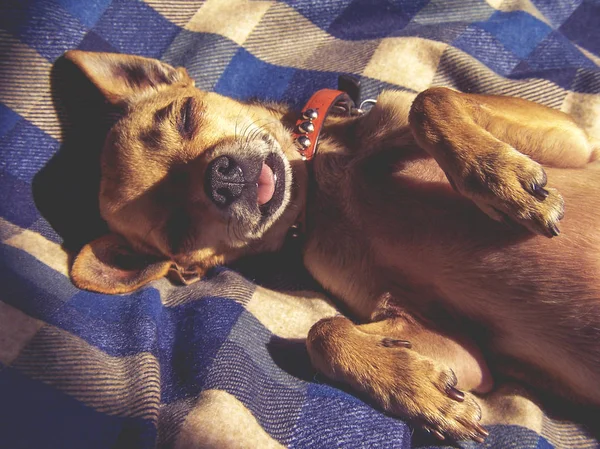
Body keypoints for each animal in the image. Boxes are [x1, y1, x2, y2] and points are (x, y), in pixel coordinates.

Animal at [63, 50, 596, 440]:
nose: (222, 180)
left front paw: (498, 176)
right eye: (178, 231)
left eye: (186, 115)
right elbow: (324, 332)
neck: (321, 191)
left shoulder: (575, 141)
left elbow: (431, 99)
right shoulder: (463, 353)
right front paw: (416, 388)